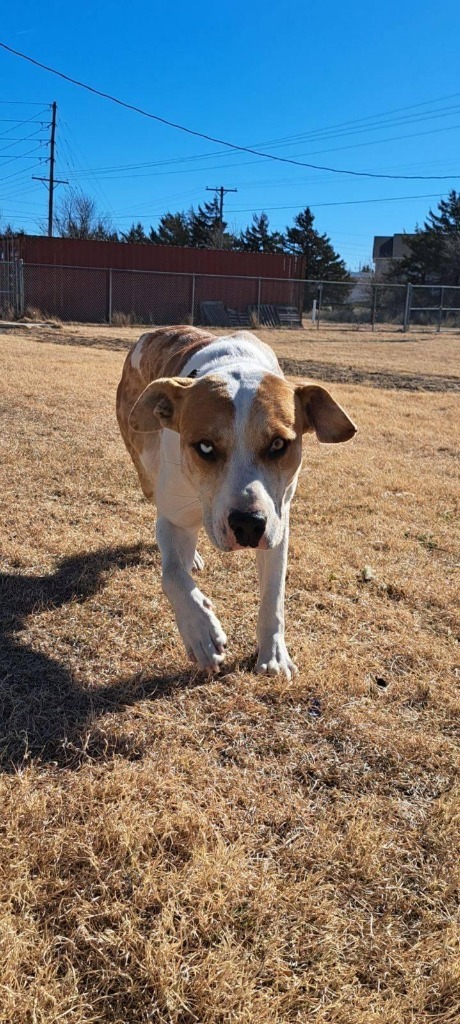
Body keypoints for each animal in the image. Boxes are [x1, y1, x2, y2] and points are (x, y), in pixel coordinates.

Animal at [115, 327, 354, 675]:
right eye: (205, 447)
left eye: (279, 444)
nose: (247, 524)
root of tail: (149, 334)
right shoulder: (173, 516)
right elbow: (172, 575)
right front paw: (201, 631)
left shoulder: (278, 523)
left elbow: (273, 596)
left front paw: (273, 654)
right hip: (146, 464)